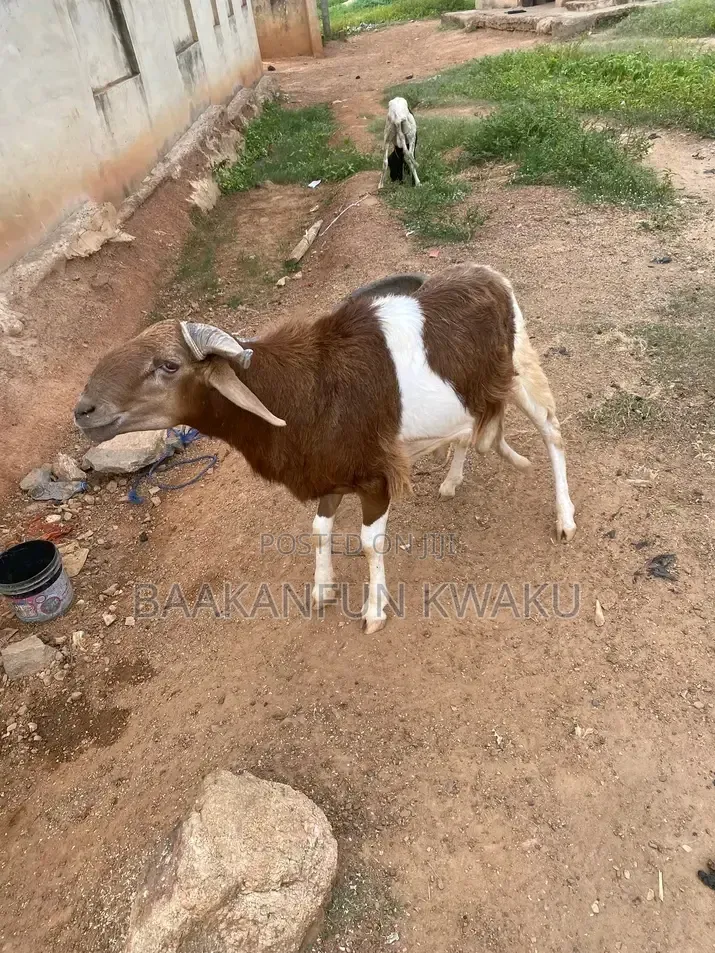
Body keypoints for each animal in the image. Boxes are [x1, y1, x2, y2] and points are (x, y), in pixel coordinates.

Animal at [74, 263, 576, 634]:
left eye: (169, 365)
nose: (84, 410)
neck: (305, 390)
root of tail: (487, 273)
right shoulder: (327, 472)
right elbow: (318, 530)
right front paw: (322, 590)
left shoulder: (375, 478)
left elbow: (370, 543)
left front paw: (373, 613)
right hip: (473, 393)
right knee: (468, 431)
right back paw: (452, 481)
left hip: (521, 369)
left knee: (552, 434)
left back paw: (565, 519)